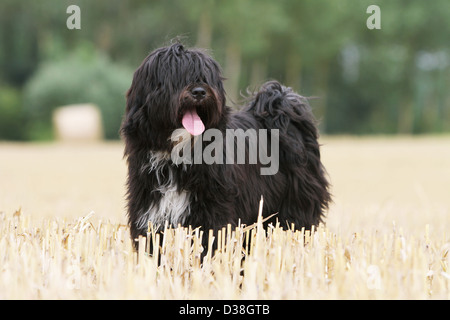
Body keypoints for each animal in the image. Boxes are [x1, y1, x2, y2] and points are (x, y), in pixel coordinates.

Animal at [119, 42, 330, 251]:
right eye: (176, 77)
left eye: (204, 78)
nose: (199, 92)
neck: (178, 154)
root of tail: (280, 109)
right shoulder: (149, 212)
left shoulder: (213, 211)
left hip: (297, 205)